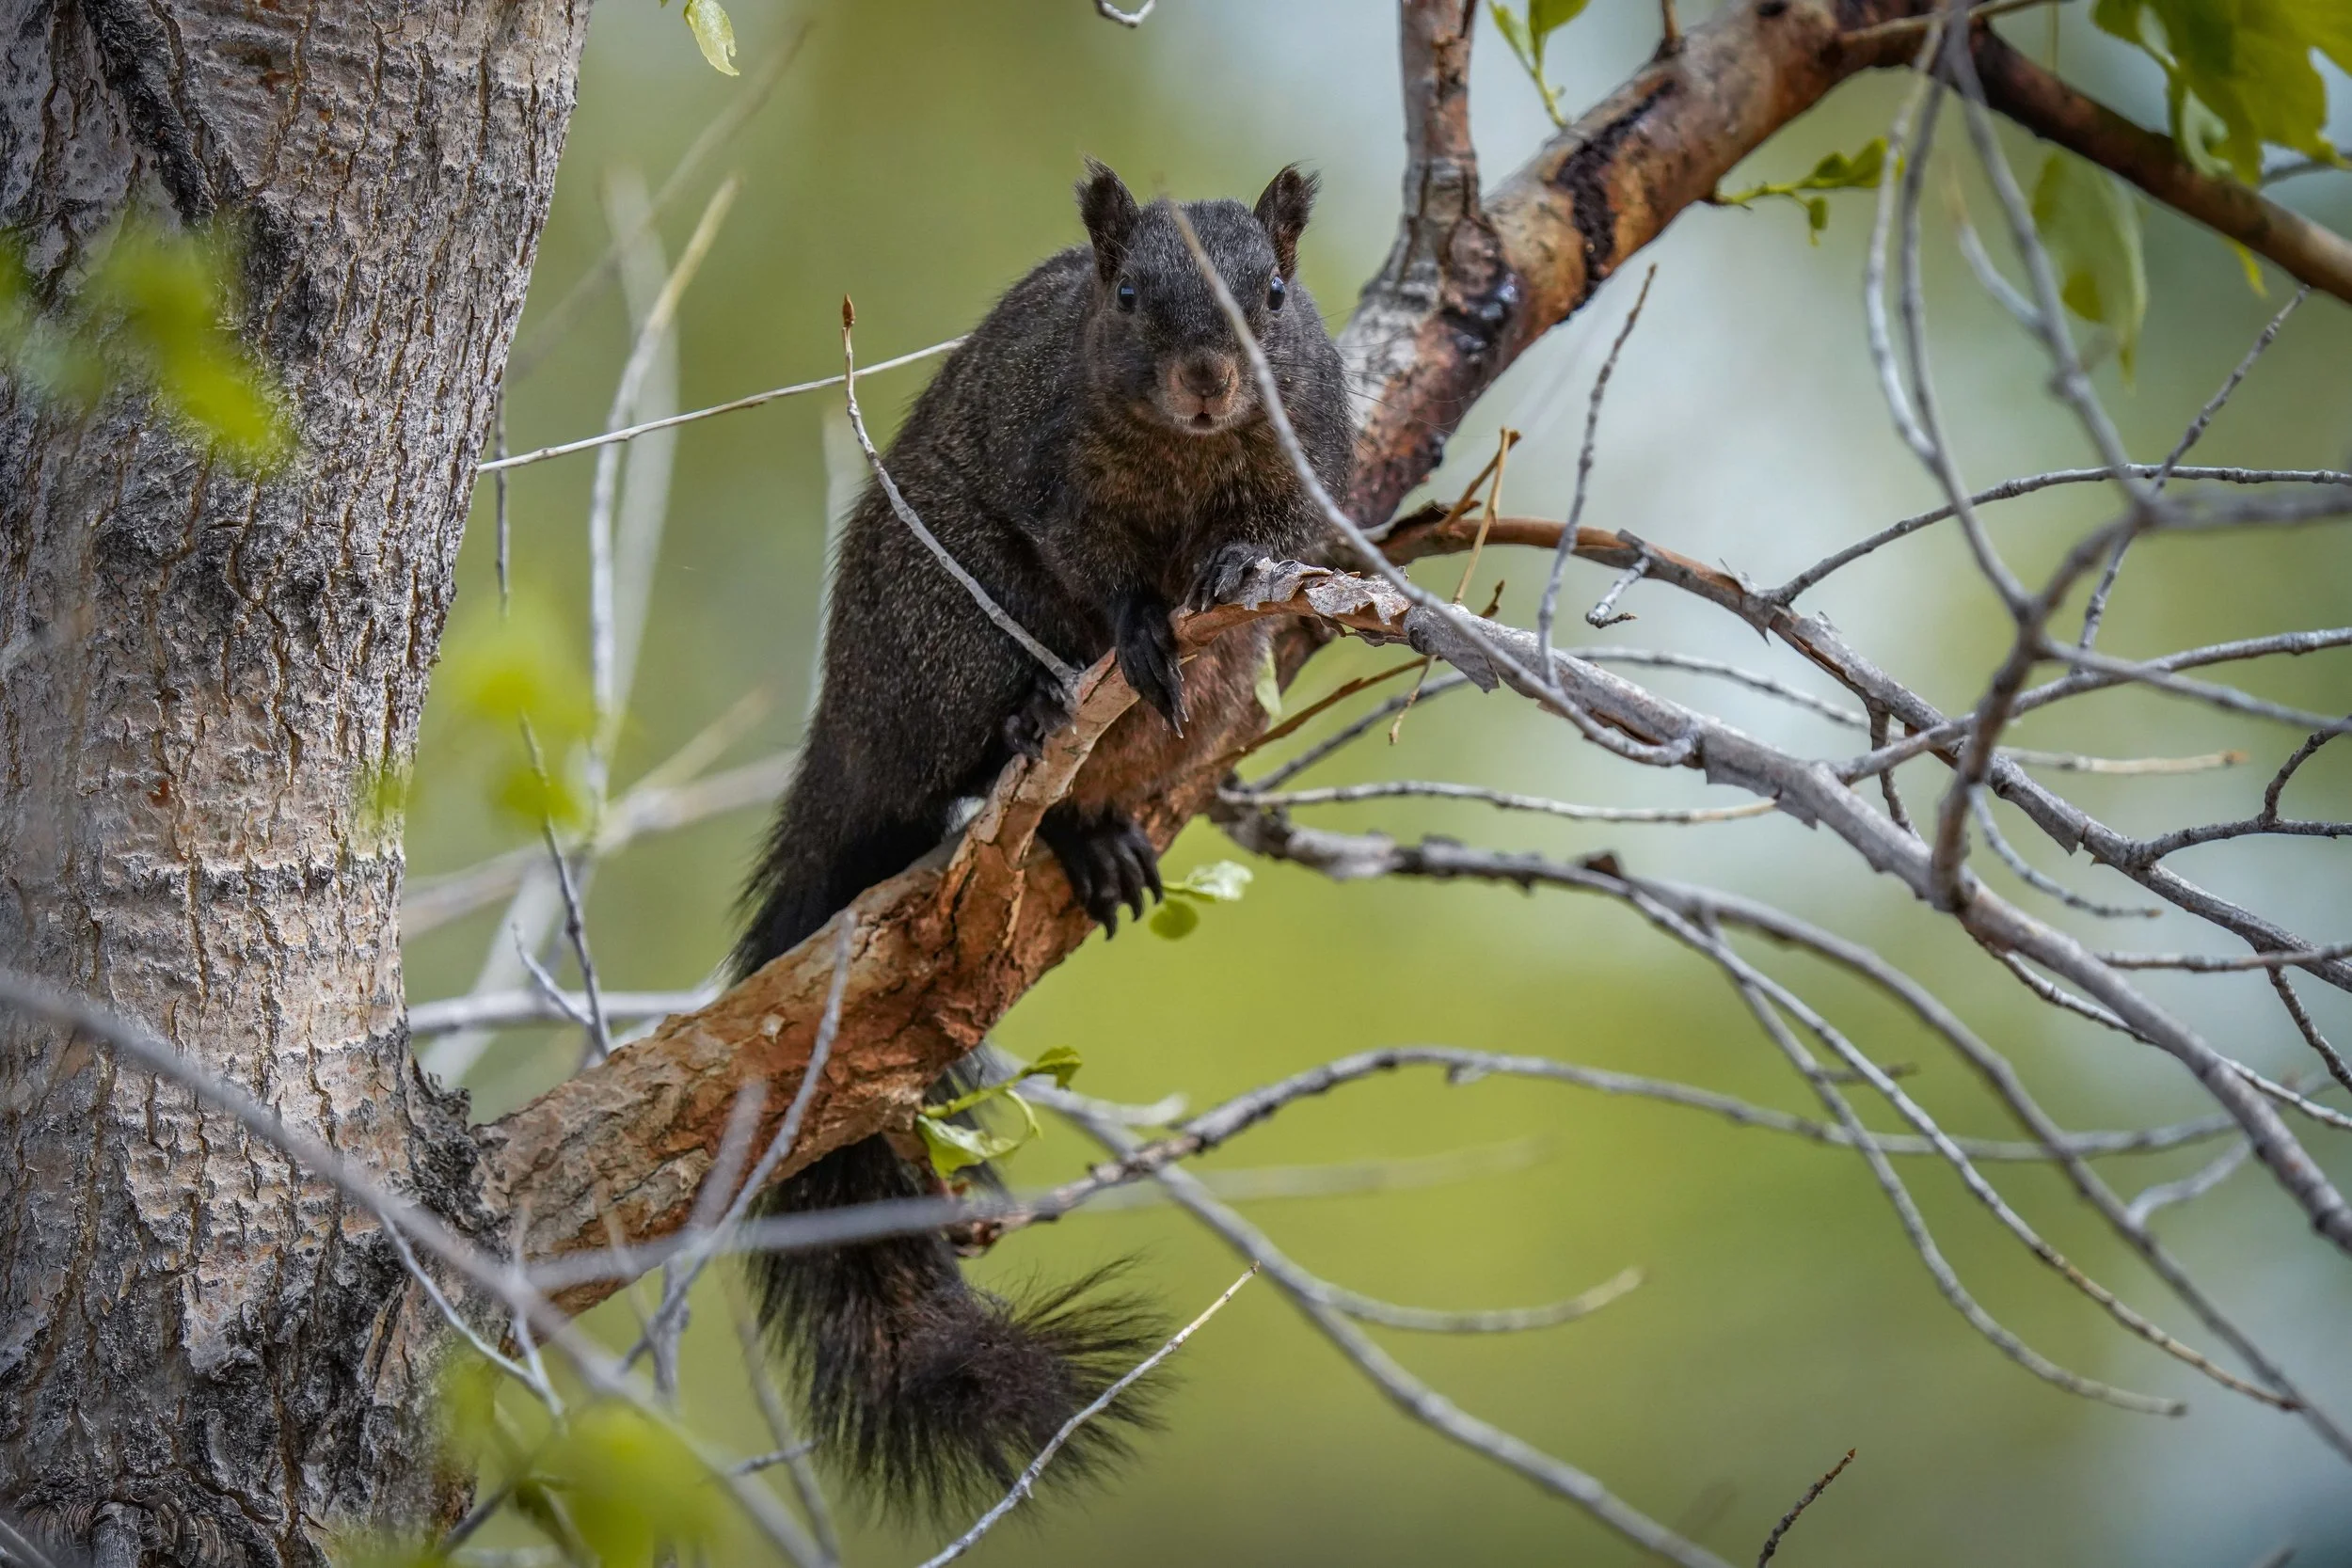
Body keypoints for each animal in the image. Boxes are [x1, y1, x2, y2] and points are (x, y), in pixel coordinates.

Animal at [732, 159, 1354, 1517]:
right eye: (1125, 297)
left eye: (1276, 297)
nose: (1208, 379)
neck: (1182, 454)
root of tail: (848, 734)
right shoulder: (1047, 465)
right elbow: (1091, 557)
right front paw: (1135, 621)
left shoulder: (1314, 449)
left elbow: (1292, 529)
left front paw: (1232, 556)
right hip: (948, 627)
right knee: (968, 751)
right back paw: (1034, 730)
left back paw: (1098, 832)